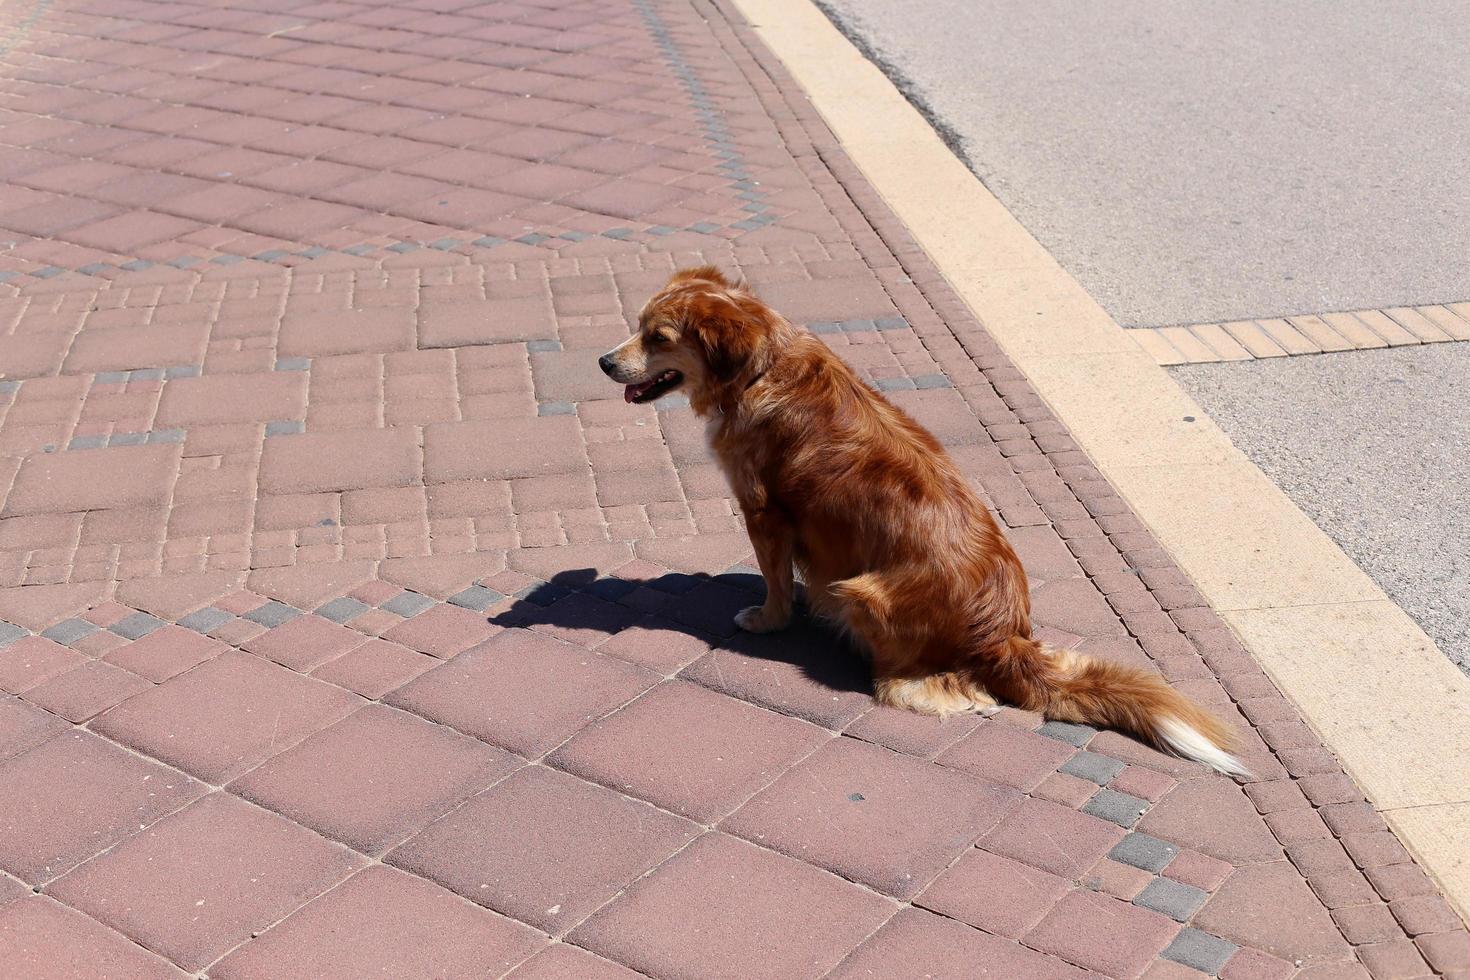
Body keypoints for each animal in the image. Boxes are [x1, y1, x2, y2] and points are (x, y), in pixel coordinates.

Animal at [602, 265, 1246, 775]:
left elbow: (776, 582)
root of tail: (1003, 637)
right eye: (638, 325)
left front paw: (767, 618)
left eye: (657, 337)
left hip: (864, 593)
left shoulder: (763, 511)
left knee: (933, 686)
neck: (765, 369)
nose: (604, 360)